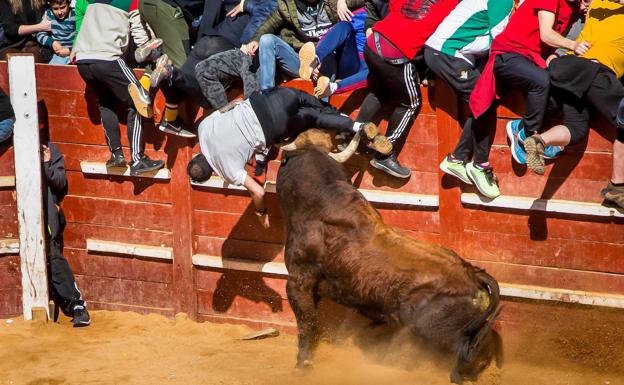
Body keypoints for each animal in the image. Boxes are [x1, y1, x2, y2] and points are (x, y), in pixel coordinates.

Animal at [276, 131, 502, 380]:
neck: (320, 198)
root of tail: (472, 273)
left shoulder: (298, 281)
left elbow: (306, 323)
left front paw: (302, 365)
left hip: (435, 333)